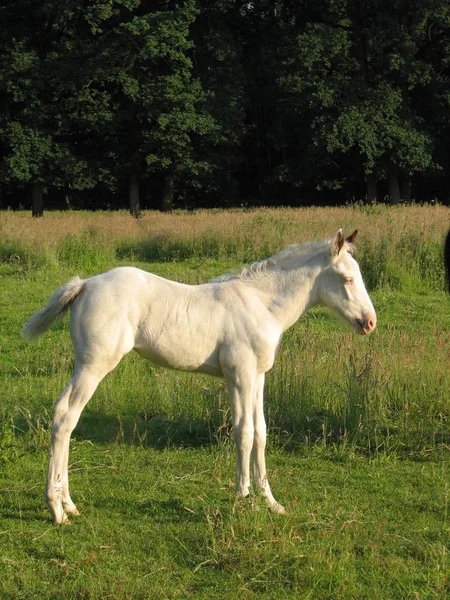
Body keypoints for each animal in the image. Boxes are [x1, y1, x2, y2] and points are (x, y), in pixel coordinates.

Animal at [24, 230, 376, 524]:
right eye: (347, 279)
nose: (370, 322)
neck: (262, 305)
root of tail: (85, 285)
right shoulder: (239, 375)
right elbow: (244, 432)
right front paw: (242, 497)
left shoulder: (258, 377)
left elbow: (261, 432)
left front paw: (271, 501)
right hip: (93, 364)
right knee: (65, 416)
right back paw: (57, 509)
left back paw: (69, 504)